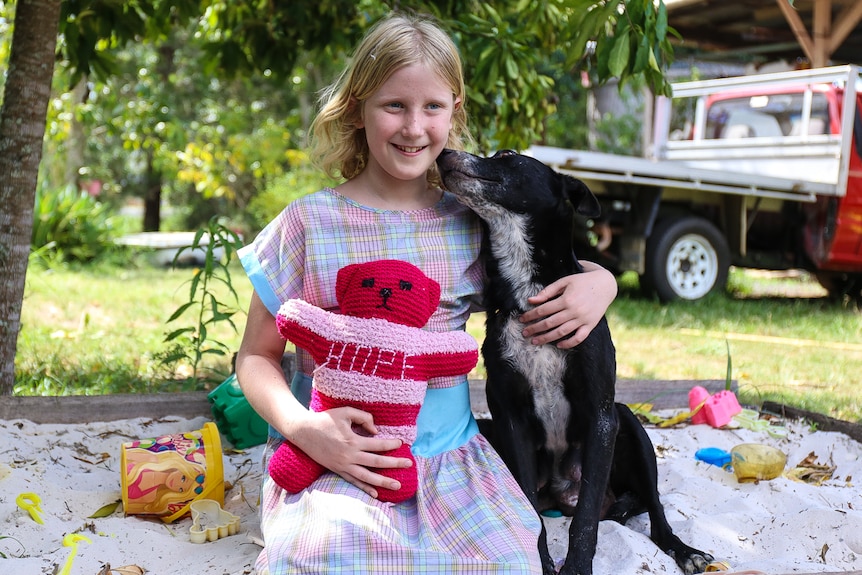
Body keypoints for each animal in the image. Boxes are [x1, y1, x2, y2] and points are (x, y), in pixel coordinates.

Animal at [268, 258, 480, 502]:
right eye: (368, 282)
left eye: (406, 285)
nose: (385, 290)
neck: (382, 321)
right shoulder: (326, 331)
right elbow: (299, 316)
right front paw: (289, 310)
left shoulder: (426, 349)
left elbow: (458, 348)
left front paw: (469, 345)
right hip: (321, 425)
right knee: (310, 446)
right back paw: (289, 465)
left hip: (390, 438)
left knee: (396, 462)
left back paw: (396, 481)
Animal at [438, 150, 716, 575]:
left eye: (507, 156)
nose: (442, 155)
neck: (528, 292)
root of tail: (560, 490)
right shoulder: (510, 419)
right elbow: (530, 511)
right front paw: (541, 561)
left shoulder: (602, 417)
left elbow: (585, 519)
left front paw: (577, 567)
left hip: (628, 422)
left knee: (654, 509)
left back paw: (683, 549)